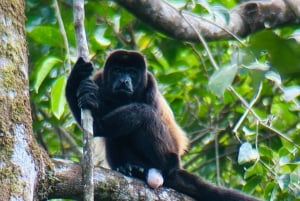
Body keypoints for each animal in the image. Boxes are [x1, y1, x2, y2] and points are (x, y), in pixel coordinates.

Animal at [65, 49, 260, 200]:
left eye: (132, 72)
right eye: (117, 70)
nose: (124, 81)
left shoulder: (150, 85)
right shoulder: (99, 79)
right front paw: (76, 76)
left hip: (170, 153)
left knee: (145, 114)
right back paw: (128, 167)